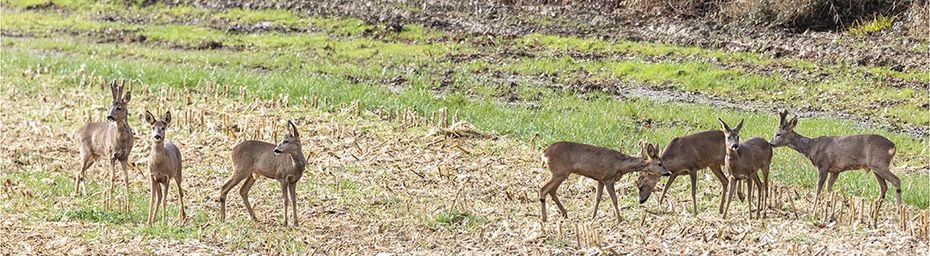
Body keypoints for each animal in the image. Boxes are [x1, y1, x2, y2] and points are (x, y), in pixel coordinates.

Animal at [73, 80, 134, 212]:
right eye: (110, 106)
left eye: (119, 107)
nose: (109, 116)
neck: (122, 140)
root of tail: (77, 132)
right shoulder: (111, 154)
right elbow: (113, 177)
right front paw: (110, 204)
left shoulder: (124, 156)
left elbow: (126, 178)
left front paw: (128, 204)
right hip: (84, 151)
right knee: (81, 171)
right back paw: (85, 193)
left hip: (93, 156)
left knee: (79, 171)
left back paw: (76, 193)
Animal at [536, 141, 668, 223]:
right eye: (659, 163)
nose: (668, 173)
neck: (620, 165)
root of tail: (544, 154)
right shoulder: (608, 178)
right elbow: (614, 199)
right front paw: (619, 220)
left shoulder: (600, 179)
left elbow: (597, 199)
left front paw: (593, 217)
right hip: (559, 172)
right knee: (543, 189)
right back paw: (544, 218)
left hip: (561, 173)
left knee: (551, 191)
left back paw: (564, 213)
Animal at [768, 110, 900, 210]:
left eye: (778, 134)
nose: (771, 143)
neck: (811, 147)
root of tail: (893, 146)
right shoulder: (835, 170)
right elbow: (829, 188)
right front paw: (830, 206)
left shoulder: (823, 165)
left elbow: (819, 188)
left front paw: (814, 208)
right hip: (875, 167)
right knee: (884, 187)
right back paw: (876, 208)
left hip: (878, 163)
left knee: (896, 180)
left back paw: (898, 209)